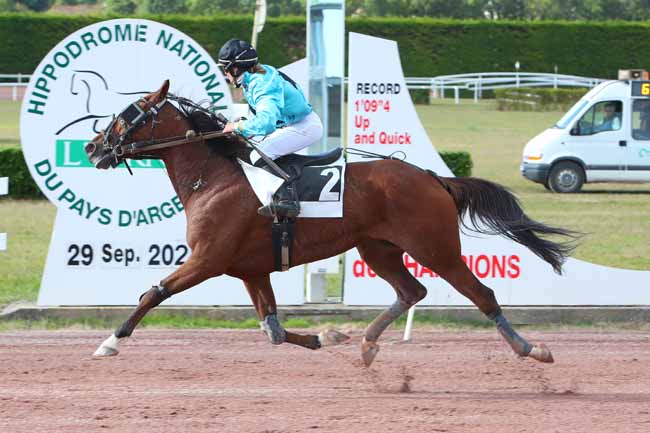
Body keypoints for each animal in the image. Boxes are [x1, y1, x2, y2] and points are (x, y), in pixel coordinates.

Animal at [87, 80, 576, 367]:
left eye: (130, 114)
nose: (93, 147)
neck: (215, 176)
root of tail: (434, 177)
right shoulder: (251, 269)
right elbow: (273, 330)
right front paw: (330, 335)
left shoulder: (208, 260)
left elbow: (153, 292)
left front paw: (110, 340)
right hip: (377, 248)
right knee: (411, 291)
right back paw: (367, 343)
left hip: (435, 247)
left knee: (481, 293)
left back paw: (532, 348)